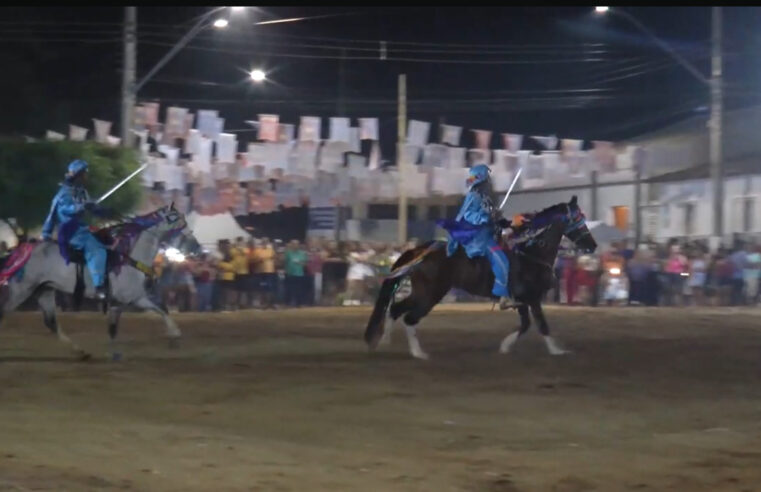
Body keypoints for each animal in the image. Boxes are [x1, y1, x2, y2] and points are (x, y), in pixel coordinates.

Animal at [0, 204, 202, 362]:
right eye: (177, 220)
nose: (197, 247)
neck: (128, 256)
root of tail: (22, 250)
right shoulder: (127, 300)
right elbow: (120, 325)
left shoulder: (131, 300)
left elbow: (159, 310)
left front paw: (174, 336)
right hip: (22, 290)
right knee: (5, 312)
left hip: (45, 290)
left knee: (51, 323)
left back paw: (81, 352)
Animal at [366, 194, 596, 360]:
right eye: (579, 219)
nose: (592, 246)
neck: (531, 253)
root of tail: (420, 250)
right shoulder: (532, 298)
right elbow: (541, 325)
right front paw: (557, 351)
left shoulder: (522, 301)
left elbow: (525, 325)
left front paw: (505, 347)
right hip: (430, 294)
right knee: (409, 317)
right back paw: (418, 353)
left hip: (422, 292)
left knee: (396, 309)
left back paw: (385, 342)